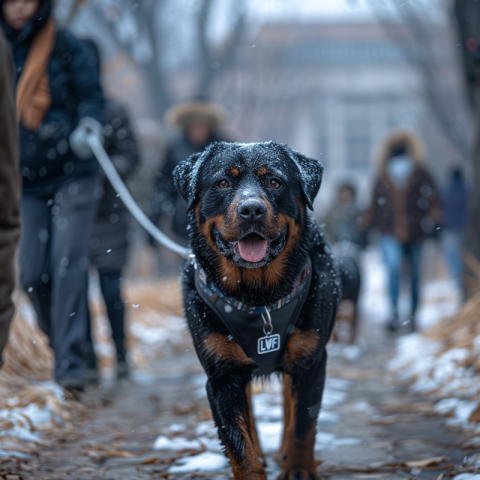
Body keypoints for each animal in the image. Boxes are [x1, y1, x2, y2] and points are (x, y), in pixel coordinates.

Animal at [174, 141, 340, 478]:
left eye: (274, 182)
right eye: (223, 182)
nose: (251, 208)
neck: (257, 298)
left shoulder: (311, 361)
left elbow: (303, 425)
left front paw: (298, 469)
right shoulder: (222, 375)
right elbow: (240, 446)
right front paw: (254, 463)